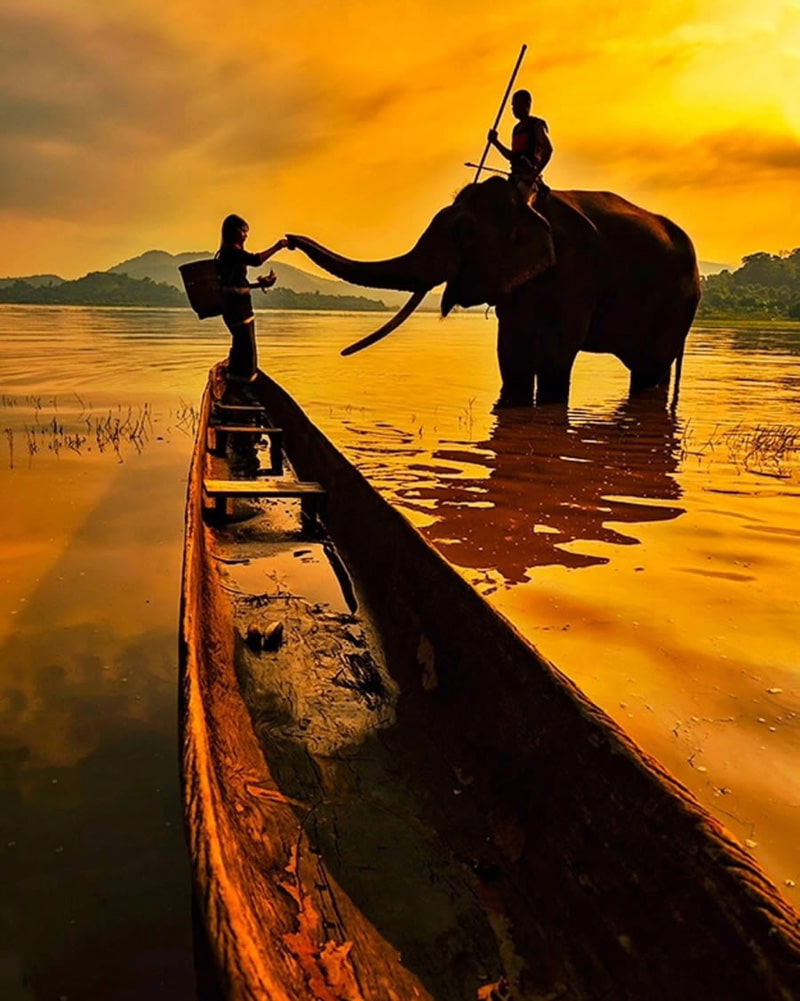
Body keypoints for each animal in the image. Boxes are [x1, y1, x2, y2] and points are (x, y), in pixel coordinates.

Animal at [286, 177, 701, 406]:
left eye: (463, 232)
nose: (288, 239)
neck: (527, 205)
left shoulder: (577, 275)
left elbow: (555, 357)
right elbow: (511, 354)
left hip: (675, 305)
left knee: (649, 369)